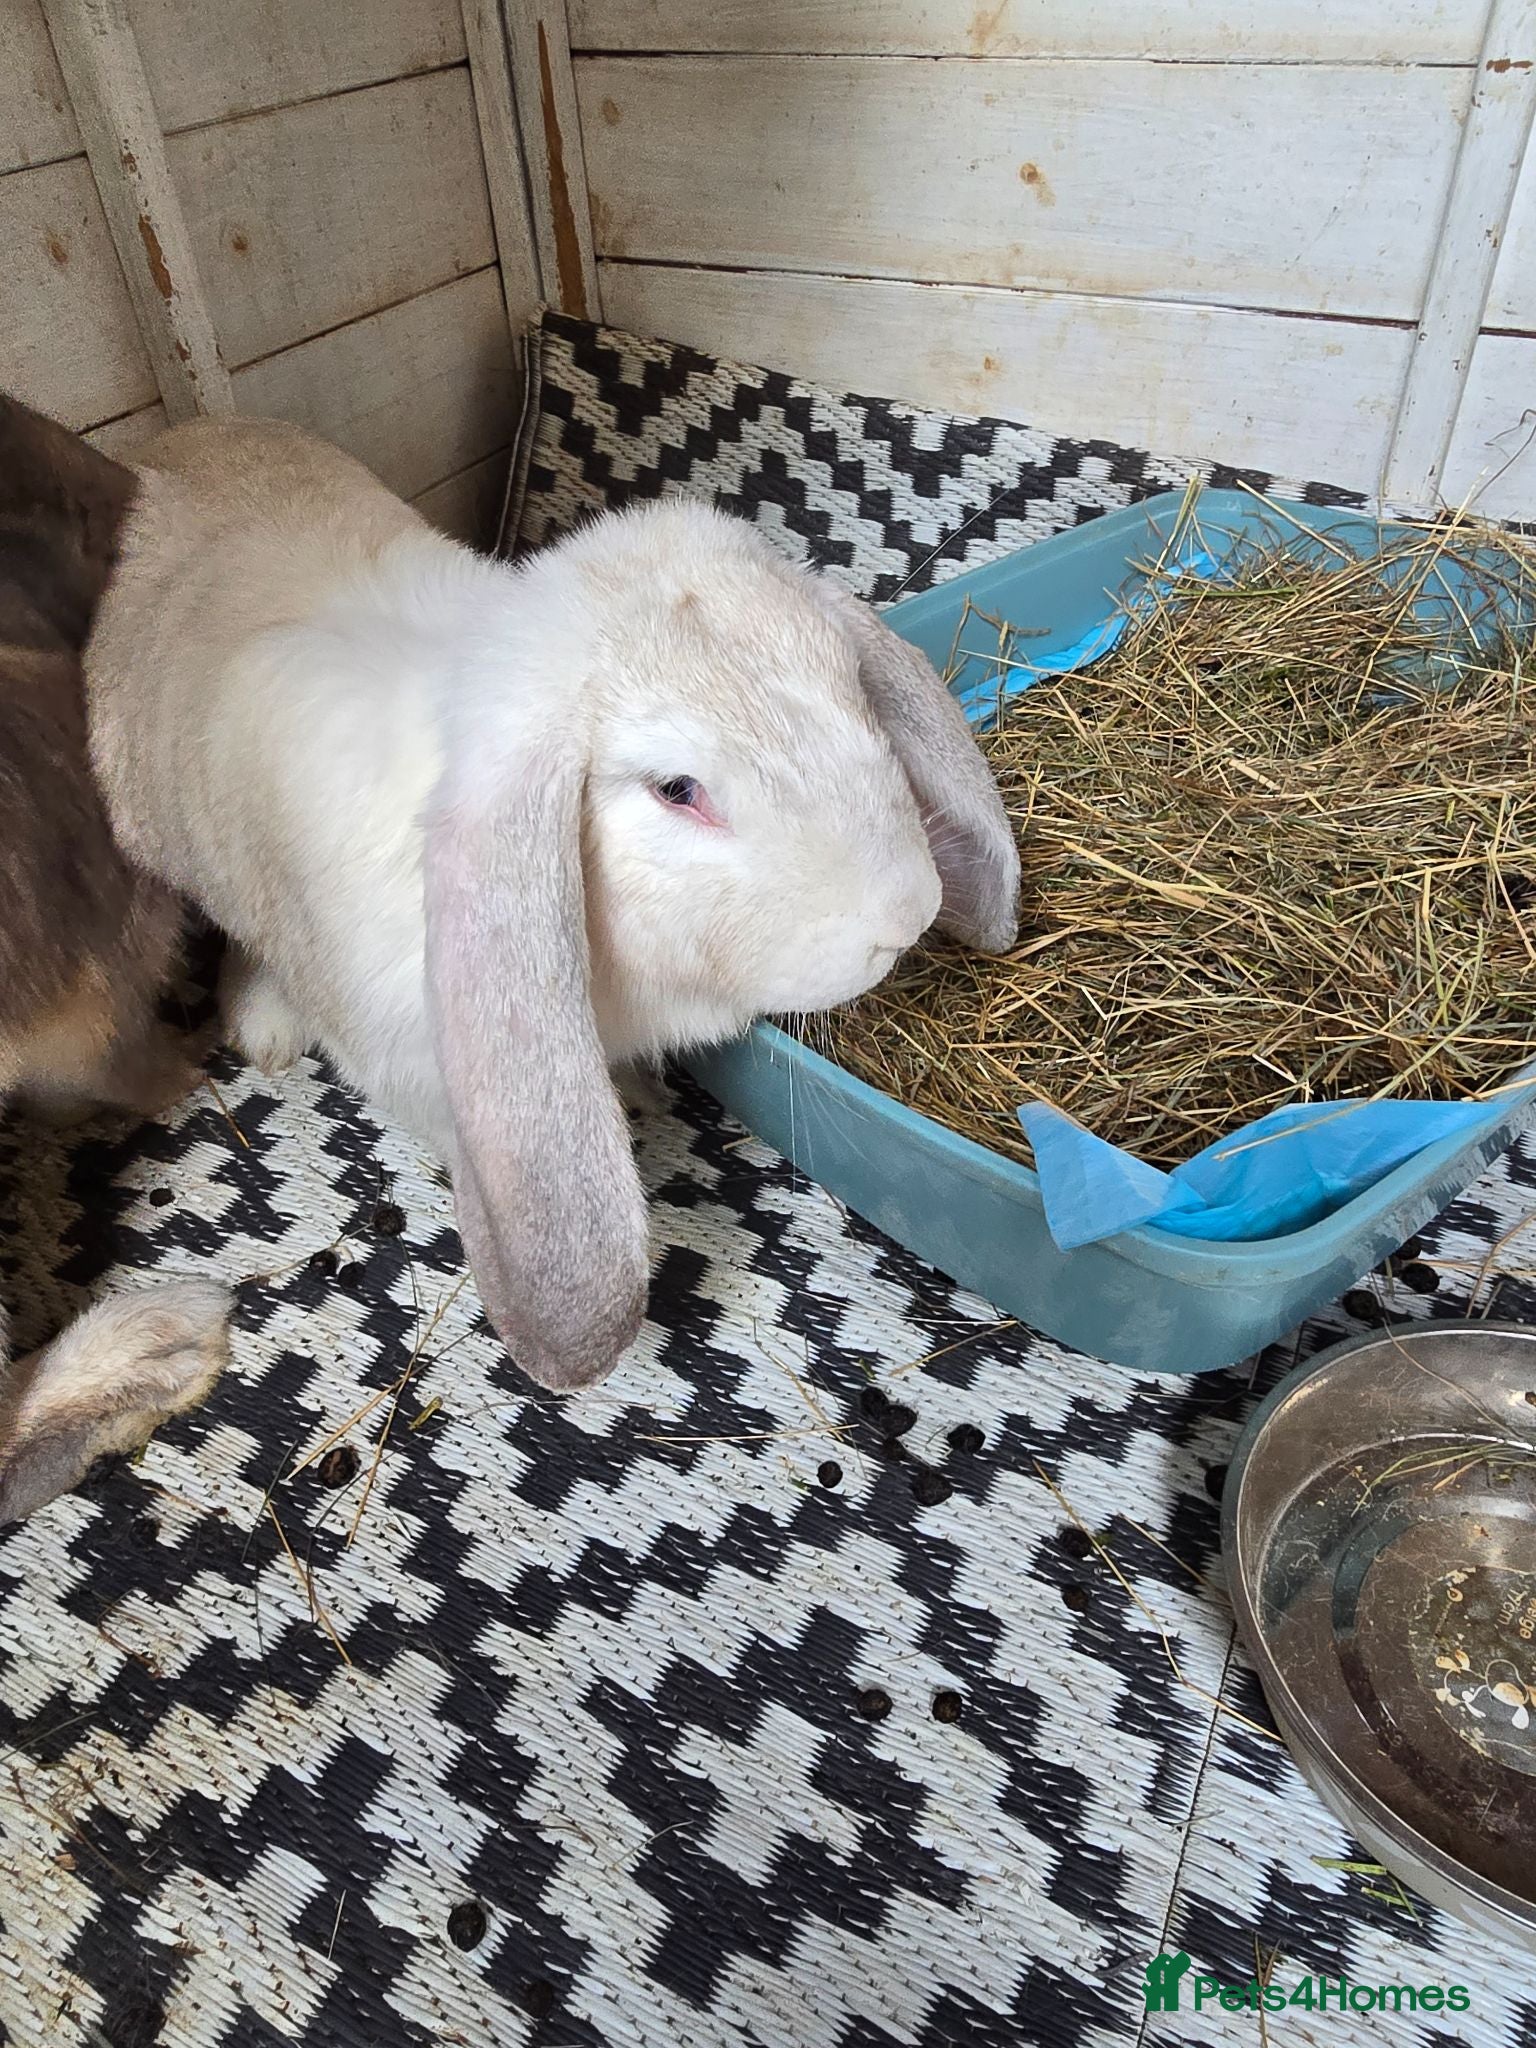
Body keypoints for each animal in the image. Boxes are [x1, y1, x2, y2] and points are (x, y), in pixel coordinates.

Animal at [86, 414, 1019, 1395]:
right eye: (677, 790)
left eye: (856, 697)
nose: (906, 914)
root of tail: (180, 437)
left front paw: (639, 1095)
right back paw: (265, 1027)